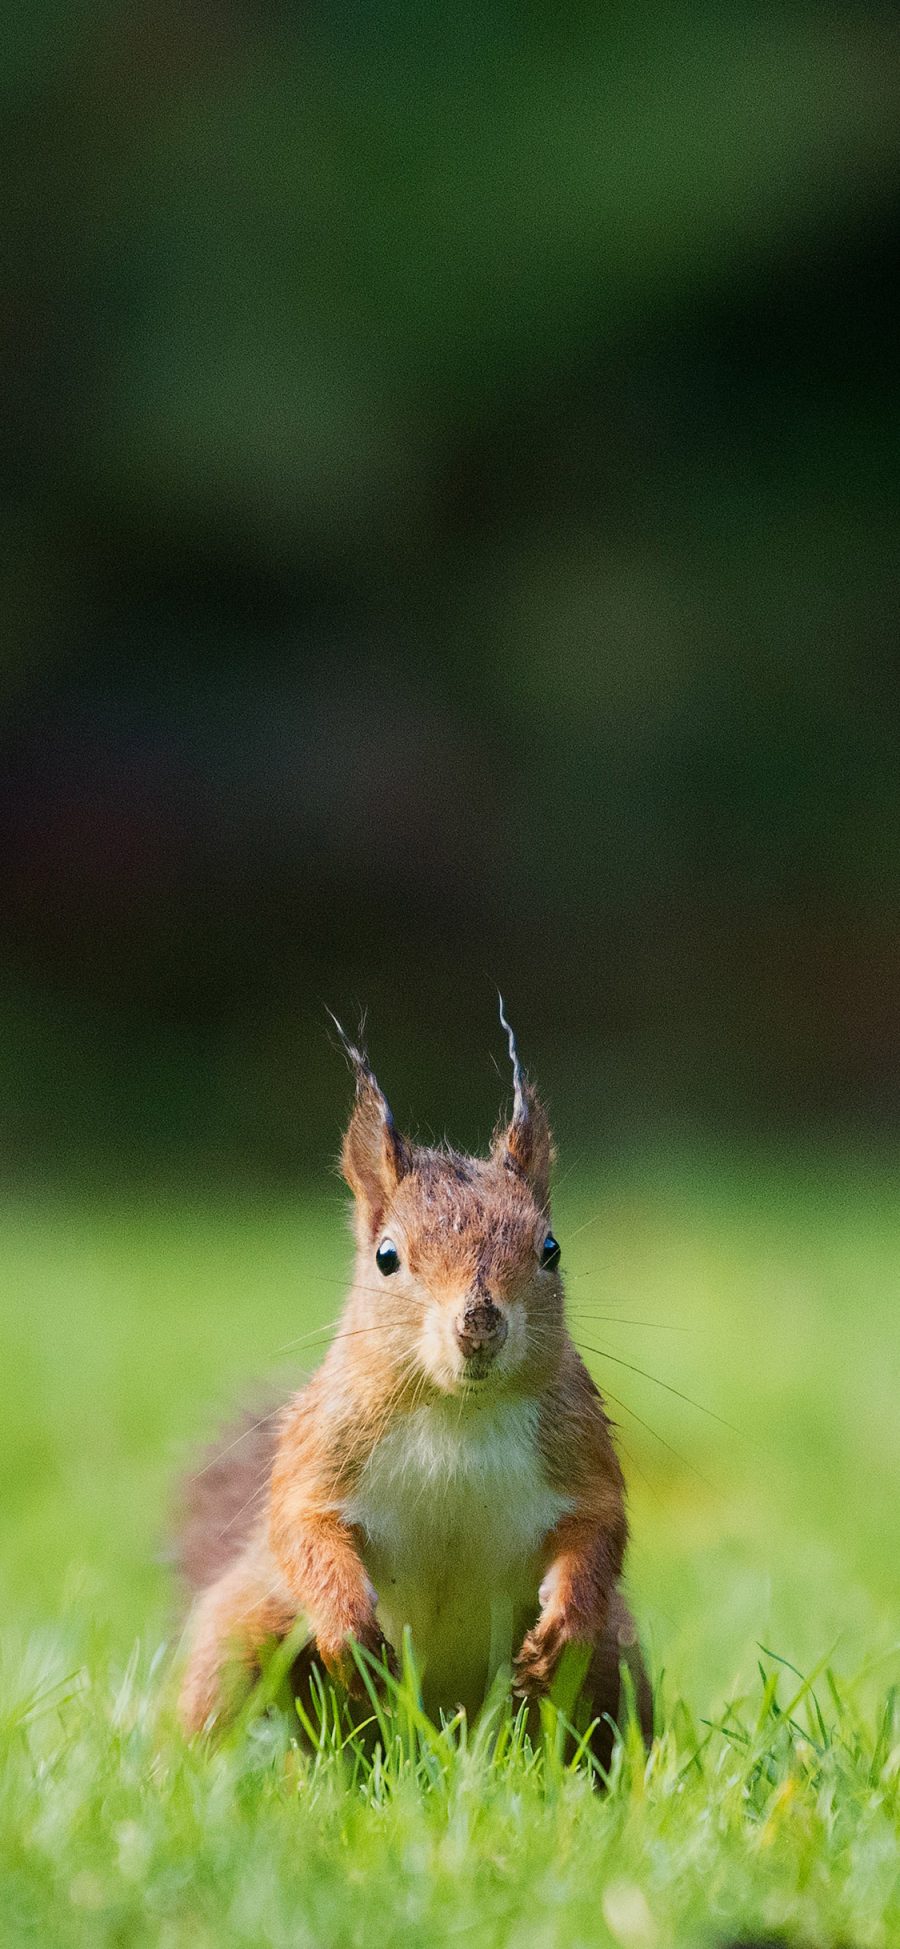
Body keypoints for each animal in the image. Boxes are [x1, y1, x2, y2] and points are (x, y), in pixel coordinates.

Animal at [175, 1005, 650, 1769]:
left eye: (550, 1249)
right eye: (387, 1256)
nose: (480, 1322)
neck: (456, 1412)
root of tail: (438, 1727)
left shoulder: (579, 1448)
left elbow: (599, 1528)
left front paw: (562, 1626)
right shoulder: (321, 1445)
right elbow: (301, 1525)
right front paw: (349, 1631)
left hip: (617, 1661)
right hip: (241, 1629)